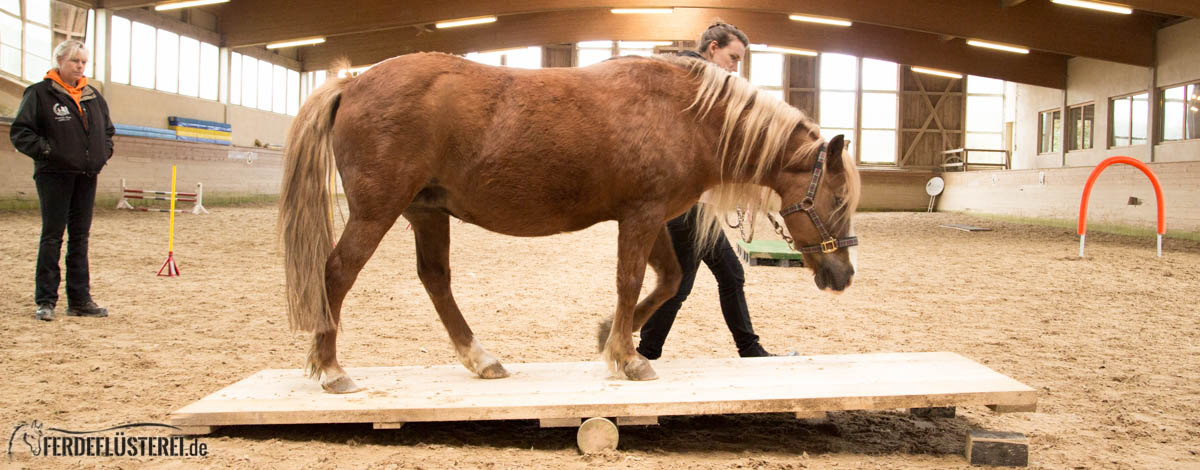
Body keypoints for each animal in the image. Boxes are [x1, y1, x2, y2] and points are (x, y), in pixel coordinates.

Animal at [278, 52, 864, 393]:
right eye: (838, 197)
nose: (842, 276)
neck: (684, 113)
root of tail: (353, 82)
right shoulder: (641, 214)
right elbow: (632, 281)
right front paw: (629, 358)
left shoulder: (651, 218)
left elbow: (668, 280)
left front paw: (611, 338)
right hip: (376, 212)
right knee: (337, 274)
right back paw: (332, 370)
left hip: (426, 211)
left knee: (436, 281)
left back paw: (481, 359)